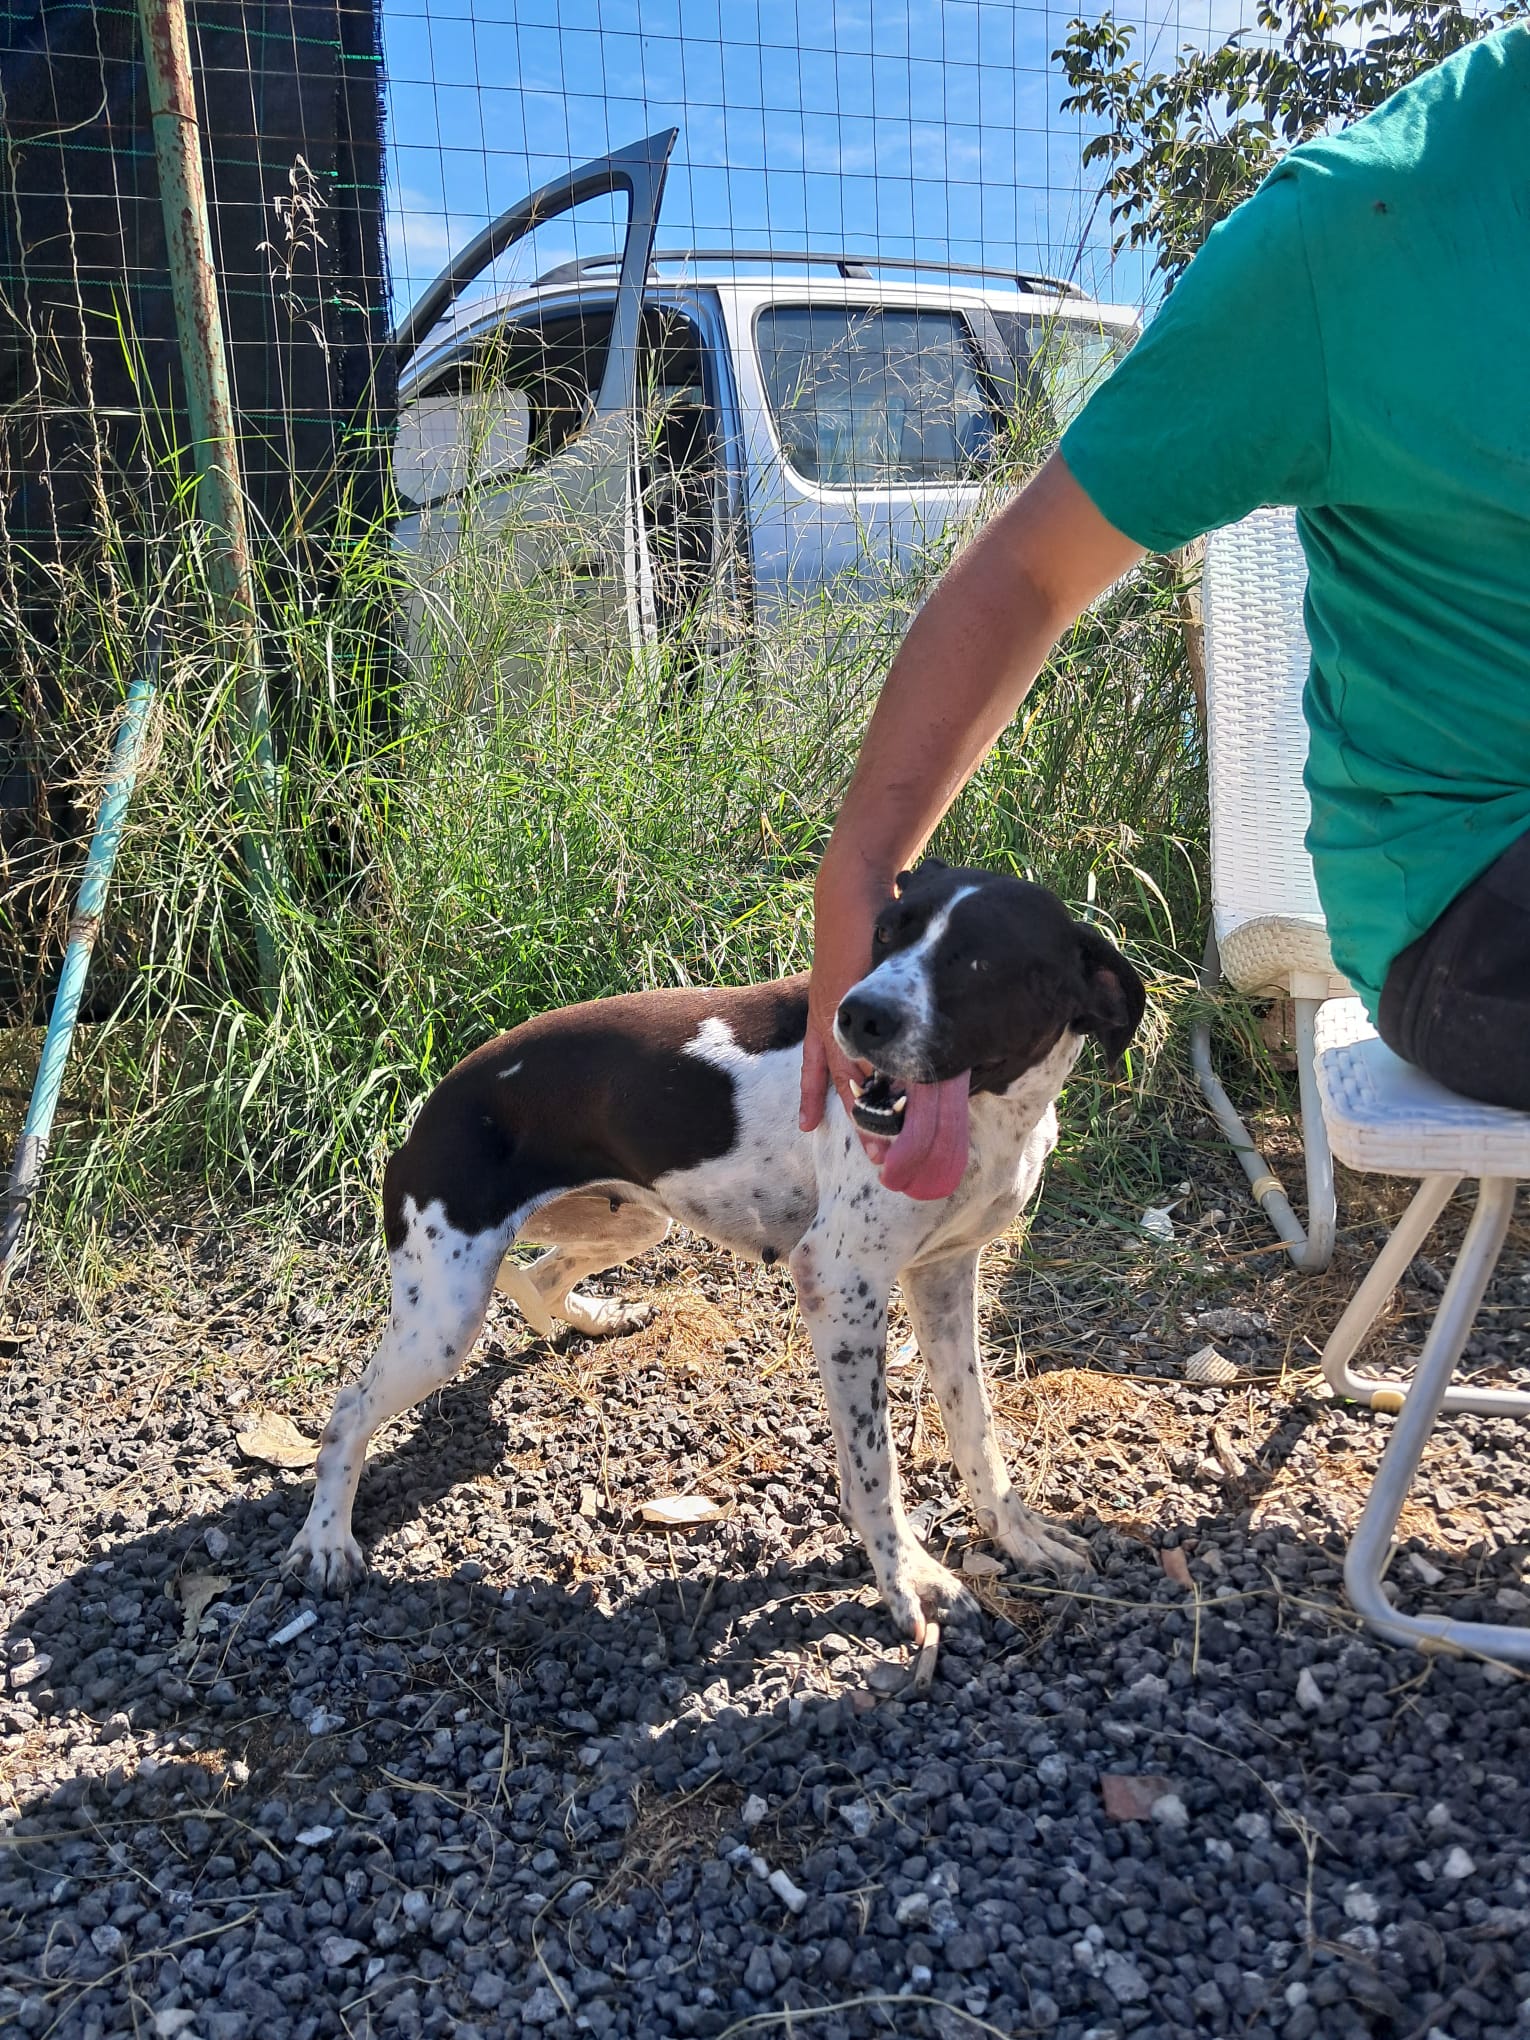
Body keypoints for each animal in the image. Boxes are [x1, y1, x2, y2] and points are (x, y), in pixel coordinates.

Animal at [287, 860, 1145, 1639]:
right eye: (885, 934)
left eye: (978, 960)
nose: (855, 1018)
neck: (989, 1121)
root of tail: (431, 1105)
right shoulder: (841, 1284)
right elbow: (874, 1471)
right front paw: (910, 1580)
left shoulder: (943, 1277)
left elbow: (978, 1434)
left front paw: (1017, 1535)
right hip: (444, 1323)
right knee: (348, 1411)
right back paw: (326, 1538)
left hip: (632, 1223)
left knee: (535, 1281)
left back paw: (598, 1319)